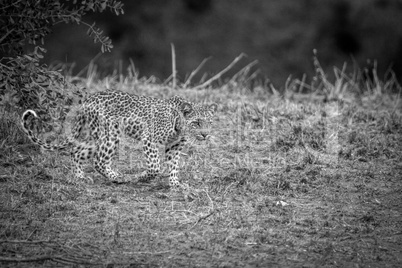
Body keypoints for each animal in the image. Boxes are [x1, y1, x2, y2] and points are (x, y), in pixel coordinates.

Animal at [22, 91, 217, 187]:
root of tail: (88, 99)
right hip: (110, 134)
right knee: (99, 161)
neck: (179, 126)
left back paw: (80, 177)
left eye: (209, 122)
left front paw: (176, 184)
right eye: (196, 123)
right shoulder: (149, 140)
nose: (205, 134)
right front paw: (142, 177)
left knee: (77, 151)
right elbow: (154, 166)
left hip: (97, 137)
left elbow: (174, 166)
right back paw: (118, 177)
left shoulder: (174, 147)